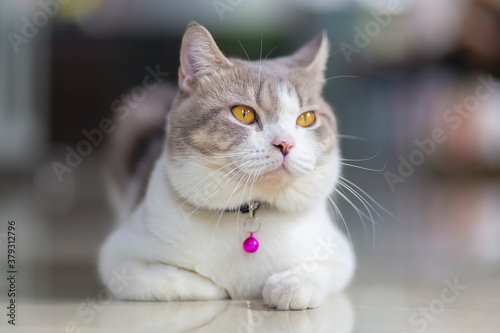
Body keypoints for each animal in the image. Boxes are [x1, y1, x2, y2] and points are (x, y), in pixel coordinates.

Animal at [98, 22, 356, 308]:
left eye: (307, 118)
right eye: (244, 113)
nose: (285, 143)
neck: (250, 210)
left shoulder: (339, 250)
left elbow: (317, 269)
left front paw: (290, 286)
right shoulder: (118, 256)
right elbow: (172, 280)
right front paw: (216, 287)